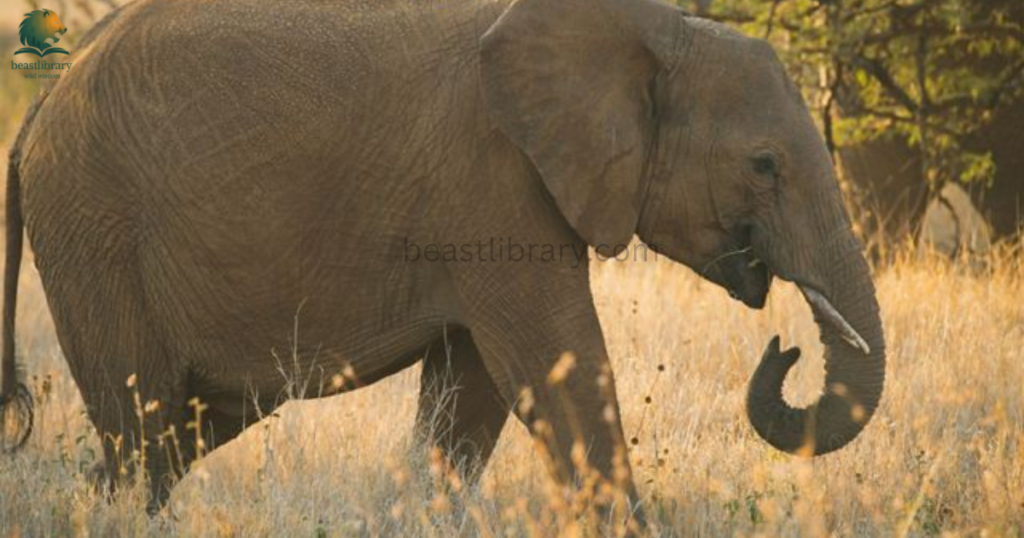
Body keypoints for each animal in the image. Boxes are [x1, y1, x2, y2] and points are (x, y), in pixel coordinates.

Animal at [1, 0, 886, 523]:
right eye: (765, 166)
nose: (785, 348)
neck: (649, 27)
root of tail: (39, 107)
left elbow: (473, 396)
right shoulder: (493, 182)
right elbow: (555, 369)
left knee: (167, 438)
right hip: (97, 235)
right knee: (142, 429)